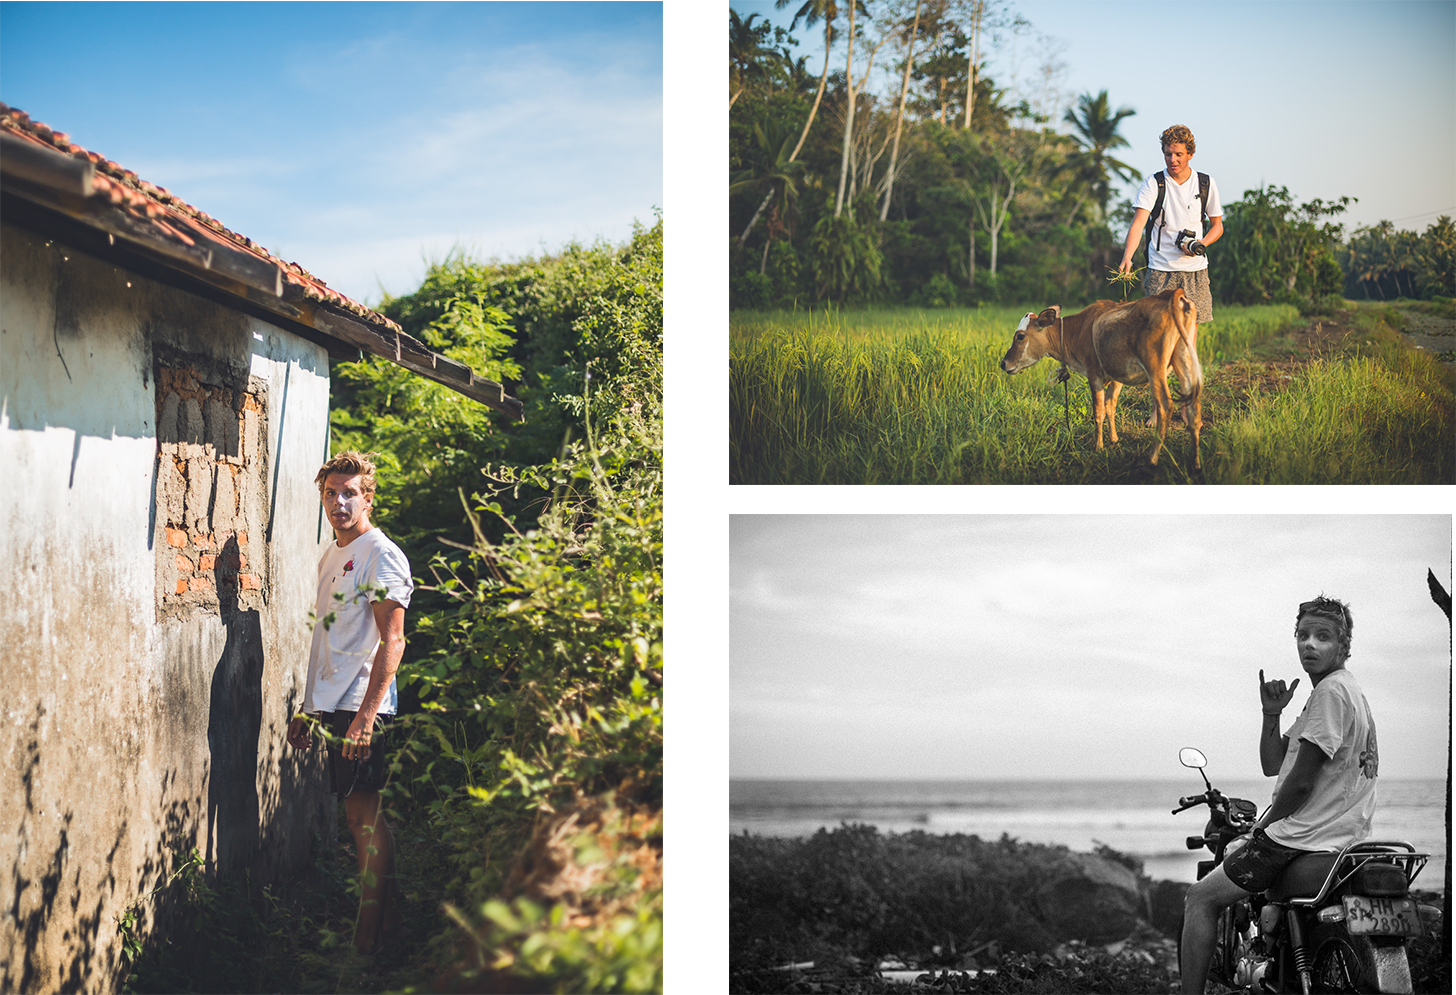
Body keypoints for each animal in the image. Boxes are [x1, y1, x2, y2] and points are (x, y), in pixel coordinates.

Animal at [1001, 289, 1205, 469]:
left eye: (1020, 336)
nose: (1003, 363)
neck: (1078, 331)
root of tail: (1171, 295)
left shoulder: (1094, 375)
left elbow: (1098, 411)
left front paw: (1098, 446)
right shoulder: (1117, 377)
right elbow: (1110, 406)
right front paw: (1113, 439)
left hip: (1156, 368)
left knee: (1165, 406)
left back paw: (1152, 459)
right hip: (1184, 359)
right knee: (1194, 407)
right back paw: (1195, 463)